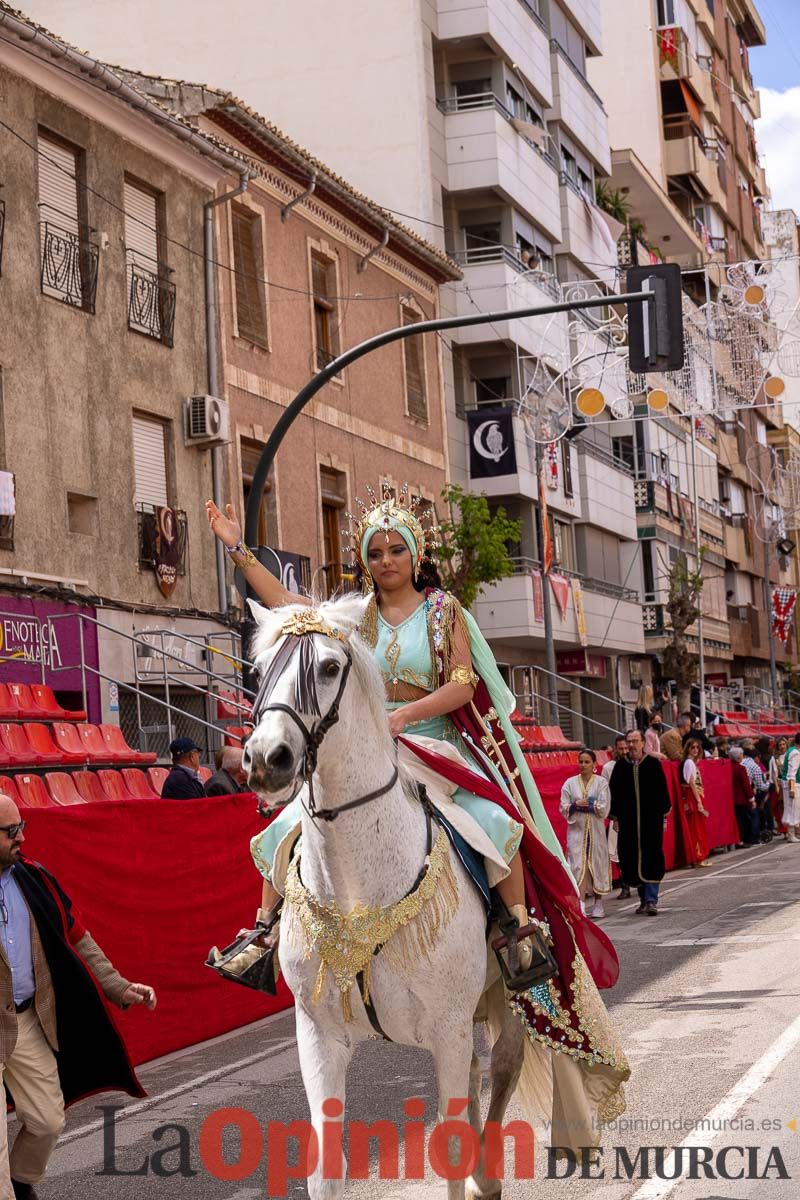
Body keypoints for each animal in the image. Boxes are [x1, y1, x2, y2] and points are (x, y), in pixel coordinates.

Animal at [247, 595, 527, 1195]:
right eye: (261, 671)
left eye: (329, 668)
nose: (266, 759)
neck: (358, 891)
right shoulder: (320, 1035)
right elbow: (325, 1168)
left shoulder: (448, 1028)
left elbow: (449, 1148)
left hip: (510, 993)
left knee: (503, 1065)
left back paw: (489, 1175)